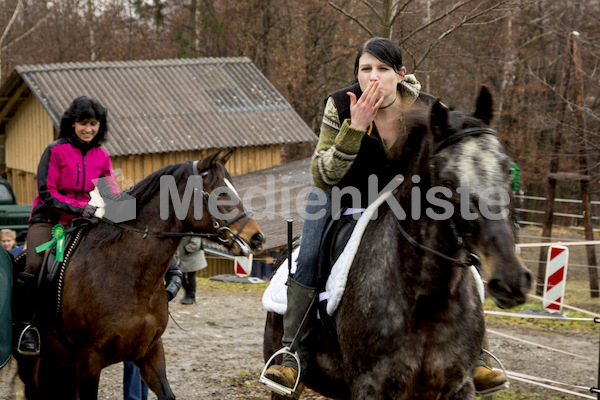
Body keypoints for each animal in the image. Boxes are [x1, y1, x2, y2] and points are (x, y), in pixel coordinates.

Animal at [15, 150, 264, 400]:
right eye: (218, 193)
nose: (256, 238)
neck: (127, 275)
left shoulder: (150, 351)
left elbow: (167, 393)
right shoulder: (89, 359)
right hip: (34, 366)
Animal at [264, 87, 532, 400]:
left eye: (508, 170)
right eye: (447, 182)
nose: (511, 281)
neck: (427, 300)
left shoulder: (459, 386)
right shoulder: (369, 386)